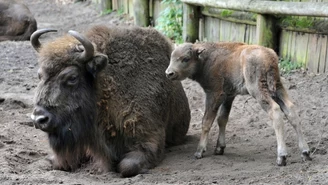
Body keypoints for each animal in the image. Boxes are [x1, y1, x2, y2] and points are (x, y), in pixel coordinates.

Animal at [165, 42, 312, 166]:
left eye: (185, 58)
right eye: (172, 57)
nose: (169, 73)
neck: (205, 59)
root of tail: (270, 57)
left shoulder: (214, 94)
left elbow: (207, 121)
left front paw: (199, 151)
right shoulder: (229, 96)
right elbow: (222, 119)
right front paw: (219, 148)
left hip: (258, 91)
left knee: (275, 111)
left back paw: (281, 157)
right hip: (278, 88)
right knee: (291, 110)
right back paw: (305, 153)